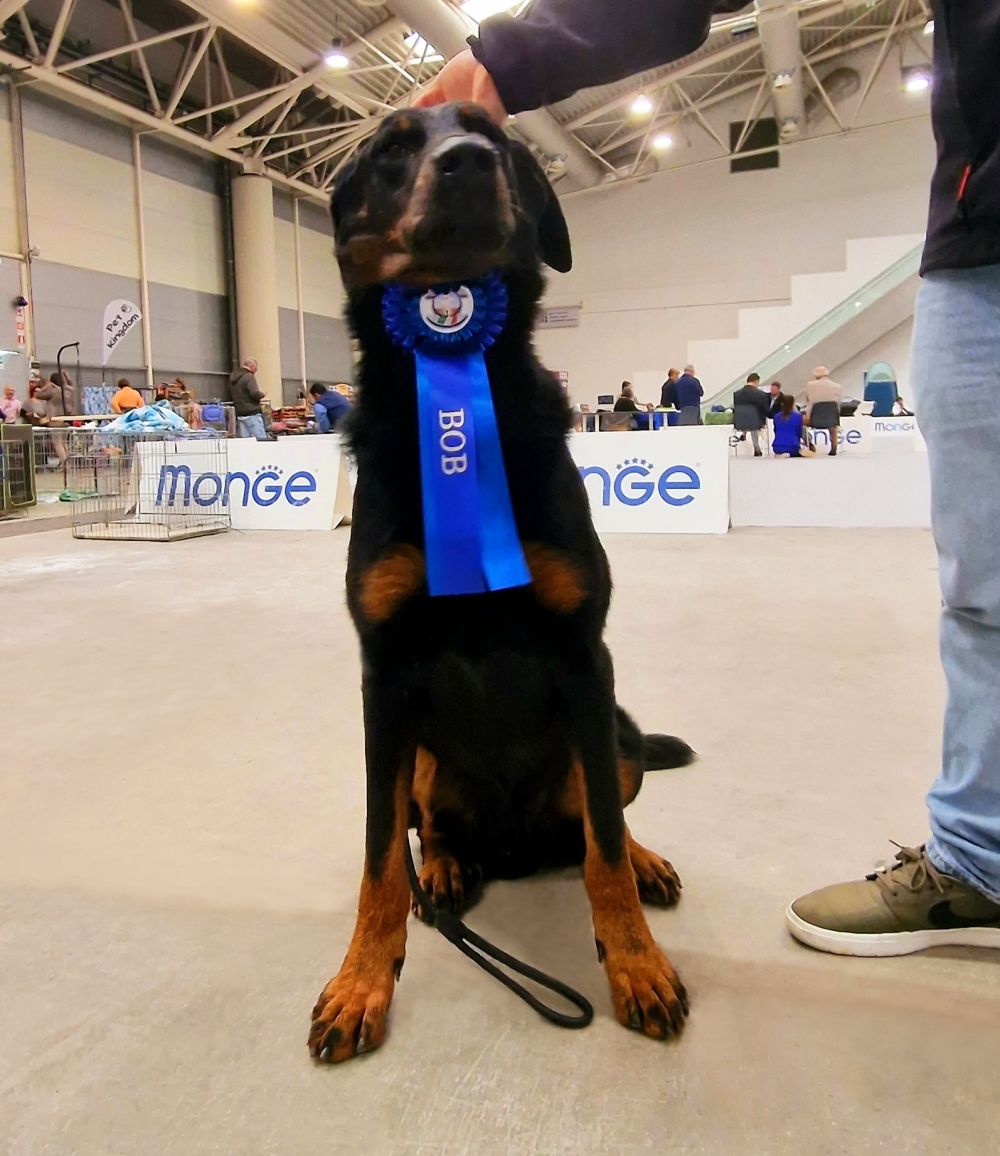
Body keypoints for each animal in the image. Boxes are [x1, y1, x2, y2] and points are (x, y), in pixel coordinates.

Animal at [312, 104, 693, 1058]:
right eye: (393, 148)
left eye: (492, 132)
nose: (469, 161)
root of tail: (517, 847)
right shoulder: (385, 678)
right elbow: (379, 857)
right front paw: (361, 980)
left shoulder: (584, 657)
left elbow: (603, 847)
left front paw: (636, 961)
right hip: (420, 758)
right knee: (431, 833)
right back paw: (449, 868)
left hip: (619, 729)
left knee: (605, 817)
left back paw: (644, 862)